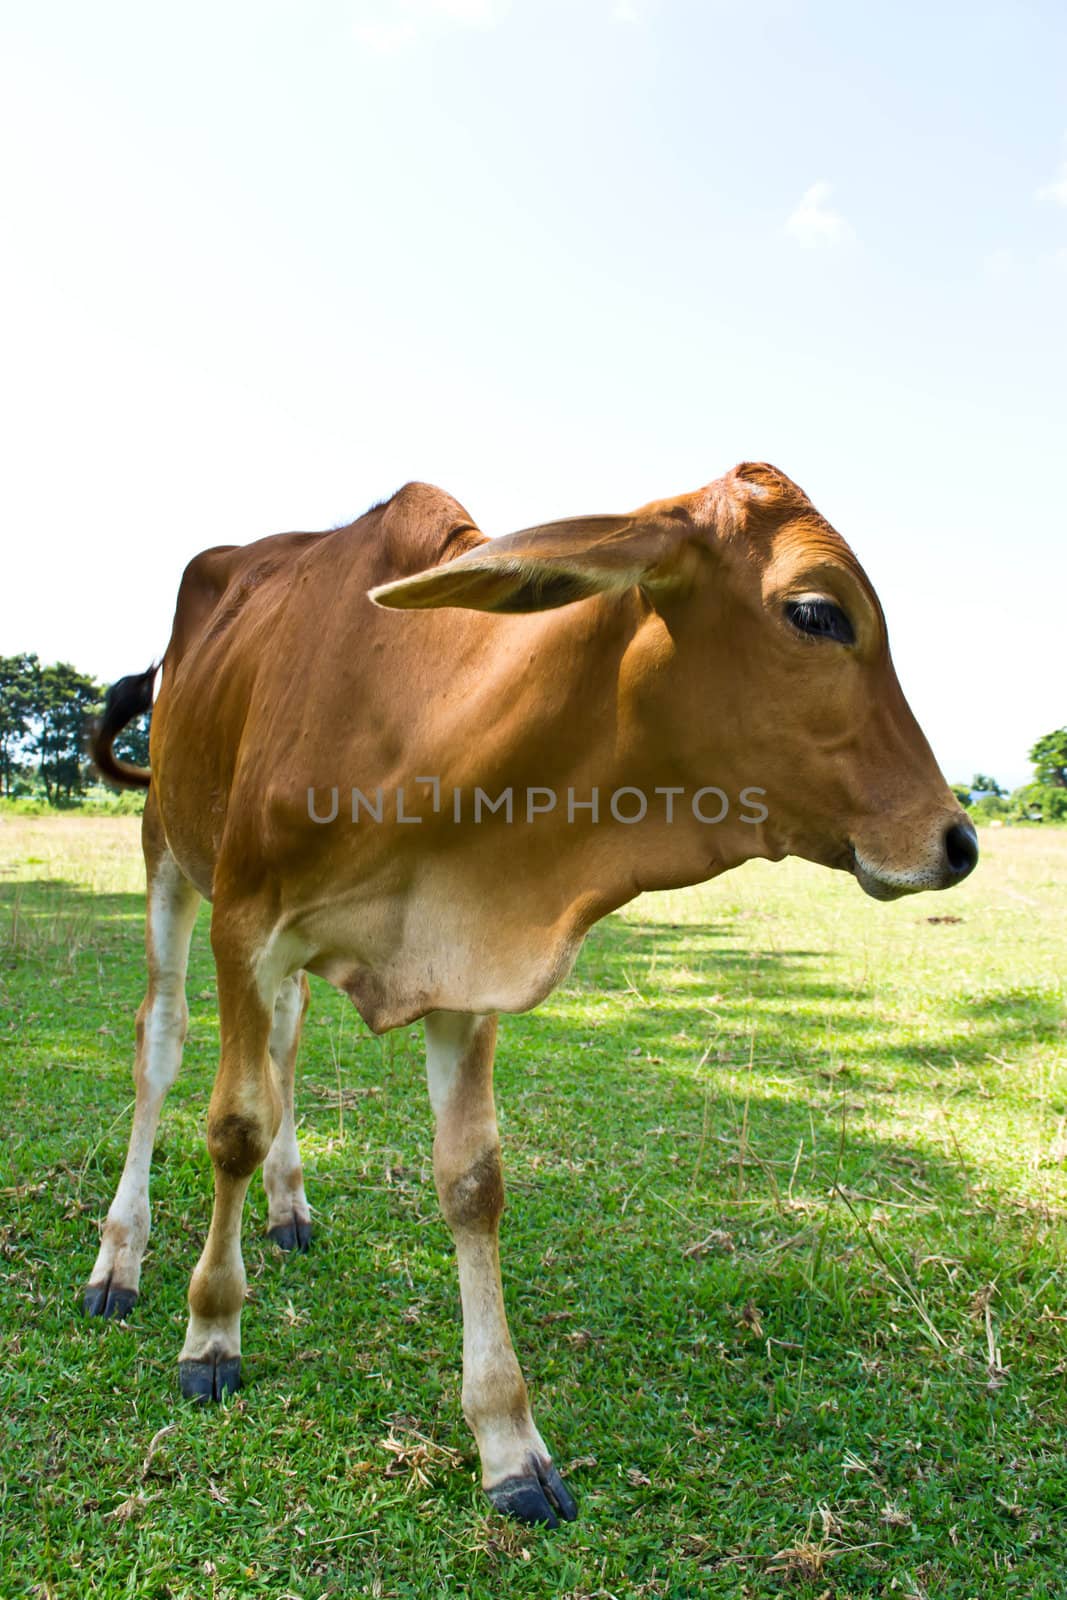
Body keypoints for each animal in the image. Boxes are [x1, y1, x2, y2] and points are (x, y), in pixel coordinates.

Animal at [87, 464, 979, 1523]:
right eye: (815, 612)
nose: (958, 841)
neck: (422, 727)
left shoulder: (462, 967)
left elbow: (472, 1184)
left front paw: (508, 1440)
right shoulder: (247, 927)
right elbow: (231, 1126)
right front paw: (211, 1333)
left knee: (287, 1044)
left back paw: (289, 1206)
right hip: (167, 854)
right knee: (162, 1041)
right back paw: (120, 1257)